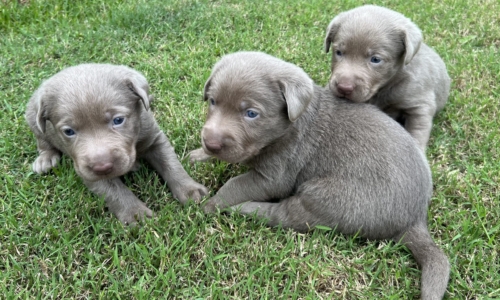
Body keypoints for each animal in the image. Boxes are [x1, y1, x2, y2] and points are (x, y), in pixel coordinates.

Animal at [24, 63, 209, 225]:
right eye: (69, 131)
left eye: (118, 120)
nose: (102, 167)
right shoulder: (87, 171)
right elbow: (114, 191)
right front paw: (135, 213)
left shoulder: (154, 138)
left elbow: (171, 164)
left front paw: (190, 190)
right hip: (32, 116)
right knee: (42, 140)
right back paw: (45, 159)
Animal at [189, 52, 452, 300]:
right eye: (212, 101)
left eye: (251, 113)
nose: (211, 142)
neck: (288, 128)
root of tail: (416, 218)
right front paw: (199, 155)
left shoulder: (274, 175)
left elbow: (235, 184)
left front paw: (212, 204)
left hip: (327, 198)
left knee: (286, 216)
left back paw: (242, 209)